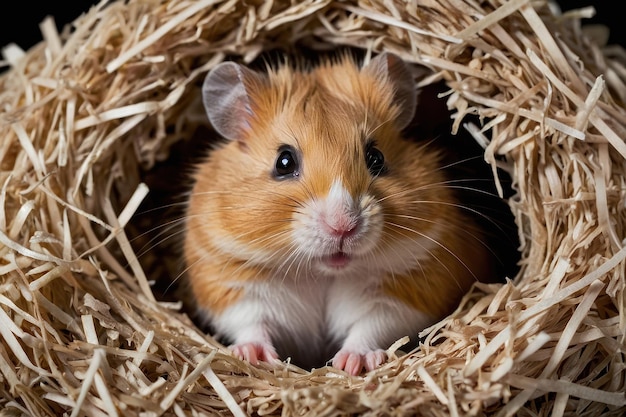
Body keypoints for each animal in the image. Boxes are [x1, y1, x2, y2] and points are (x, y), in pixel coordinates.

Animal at [183, 51, 494, 374]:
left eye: (375, 158)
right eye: (284, 162)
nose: (342, 226)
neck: (321, 271)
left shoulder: (406, 292)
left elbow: (370, 327)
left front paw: (351, 364)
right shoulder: (230, 283)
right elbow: (250, 322)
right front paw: (252, 356)